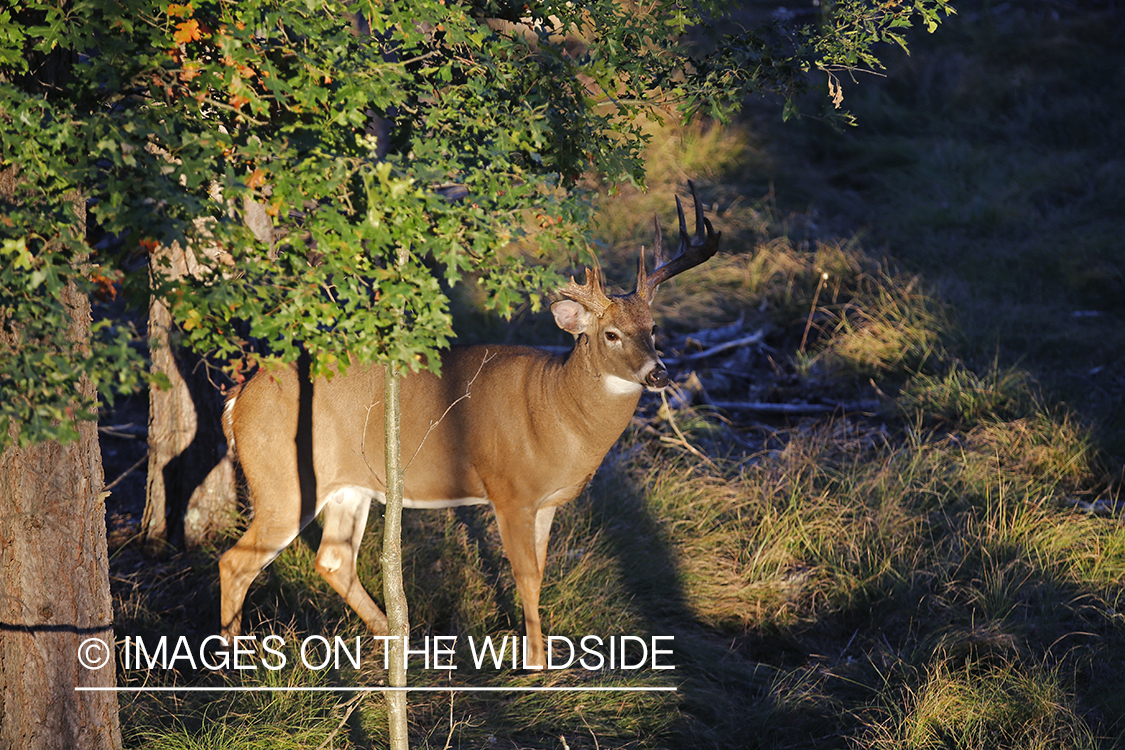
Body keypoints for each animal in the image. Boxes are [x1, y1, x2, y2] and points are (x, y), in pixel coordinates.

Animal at [219, 179, 720, 670]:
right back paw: (233, 665)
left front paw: (543, 656)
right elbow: (526, 575)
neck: (556, 411)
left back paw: (400, 642)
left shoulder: (547, 501)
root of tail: (238, 400)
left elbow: (540, 571)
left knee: (332, 560)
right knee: (234, 562)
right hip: (283, 480)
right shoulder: (509, 490)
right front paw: (536, 665)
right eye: (611, 334)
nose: (659, 373)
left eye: (652, 328)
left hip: (348, 484)